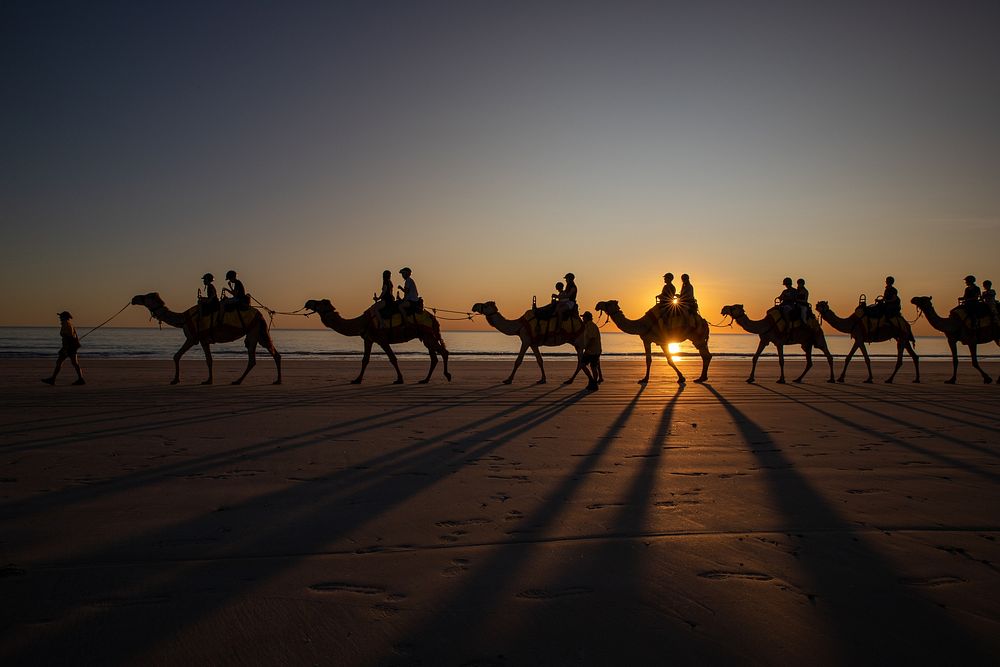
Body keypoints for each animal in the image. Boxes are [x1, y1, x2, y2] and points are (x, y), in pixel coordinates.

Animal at [130, 292, 282, 386]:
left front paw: (178, 380)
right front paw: (205, 380)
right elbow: (203, 359)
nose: (134, 298)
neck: (183, 319)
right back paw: (276, 380)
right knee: (273, 353)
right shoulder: (202, 339)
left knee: (253, 358)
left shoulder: (194, 338)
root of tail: (261, 314)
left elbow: (185, 357)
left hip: (253, 331)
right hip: (259, 332)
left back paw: (238, 381)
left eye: (145, 297)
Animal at [300, 298, 450, 384]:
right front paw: (357, 379)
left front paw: (400, 379)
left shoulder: (382, 339)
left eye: (321, 302)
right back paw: (425, 379)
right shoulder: (368, 339)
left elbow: (392, 358)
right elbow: (365, 360)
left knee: (443, 352)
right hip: (425, 336)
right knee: (434, 357)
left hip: (428, 335)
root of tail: (434, 318)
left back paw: (447, 375)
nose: (308, 302)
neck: (363, 321)